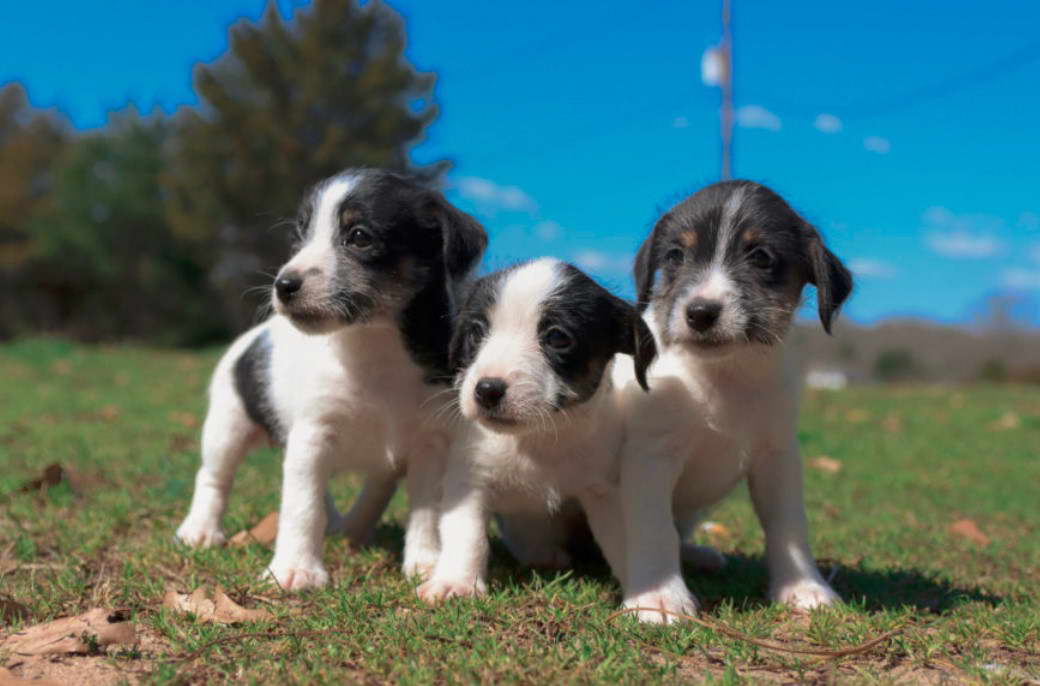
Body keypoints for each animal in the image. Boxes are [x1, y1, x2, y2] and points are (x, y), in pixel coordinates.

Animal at [174, 167, 486, 590]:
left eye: (359, 236)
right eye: (298, 238)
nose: (283, 285)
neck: (372, 347)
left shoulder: (430, 444)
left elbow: (426, 510)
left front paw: (425, 561)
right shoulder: (313, 434)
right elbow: (301, 506)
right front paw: (294, 569)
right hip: (227, 424)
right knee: (213, 477)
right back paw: (201, 530)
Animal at [411, 257, 648, 598]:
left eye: (558, 337)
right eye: (476, 332)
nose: (487, 390)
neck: (537, 439)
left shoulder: (604, 490)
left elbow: (625, 541)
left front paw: (653, 595)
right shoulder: (468, 478)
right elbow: (466, 532)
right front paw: (456, 582)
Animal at [611, 180, 848, 623]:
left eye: (761, 257)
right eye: (675, 255)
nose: (701, 312)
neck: (722, 377)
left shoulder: (777, 458)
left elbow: (789, 526)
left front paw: (804, 587)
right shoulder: (650, 459)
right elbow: (655, 529)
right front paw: (659, 599)